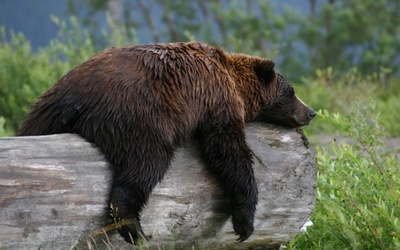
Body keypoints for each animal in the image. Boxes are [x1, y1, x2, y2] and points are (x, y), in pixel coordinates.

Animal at [17, 41, 316, 244]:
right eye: (292, 92)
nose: (311, 112)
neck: (232, 80)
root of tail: (75, 98)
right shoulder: (216, 100)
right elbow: (228, 151)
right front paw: (244, 223)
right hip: (138, 115)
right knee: (146, 163)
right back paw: (134, 229)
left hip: (44, 113)